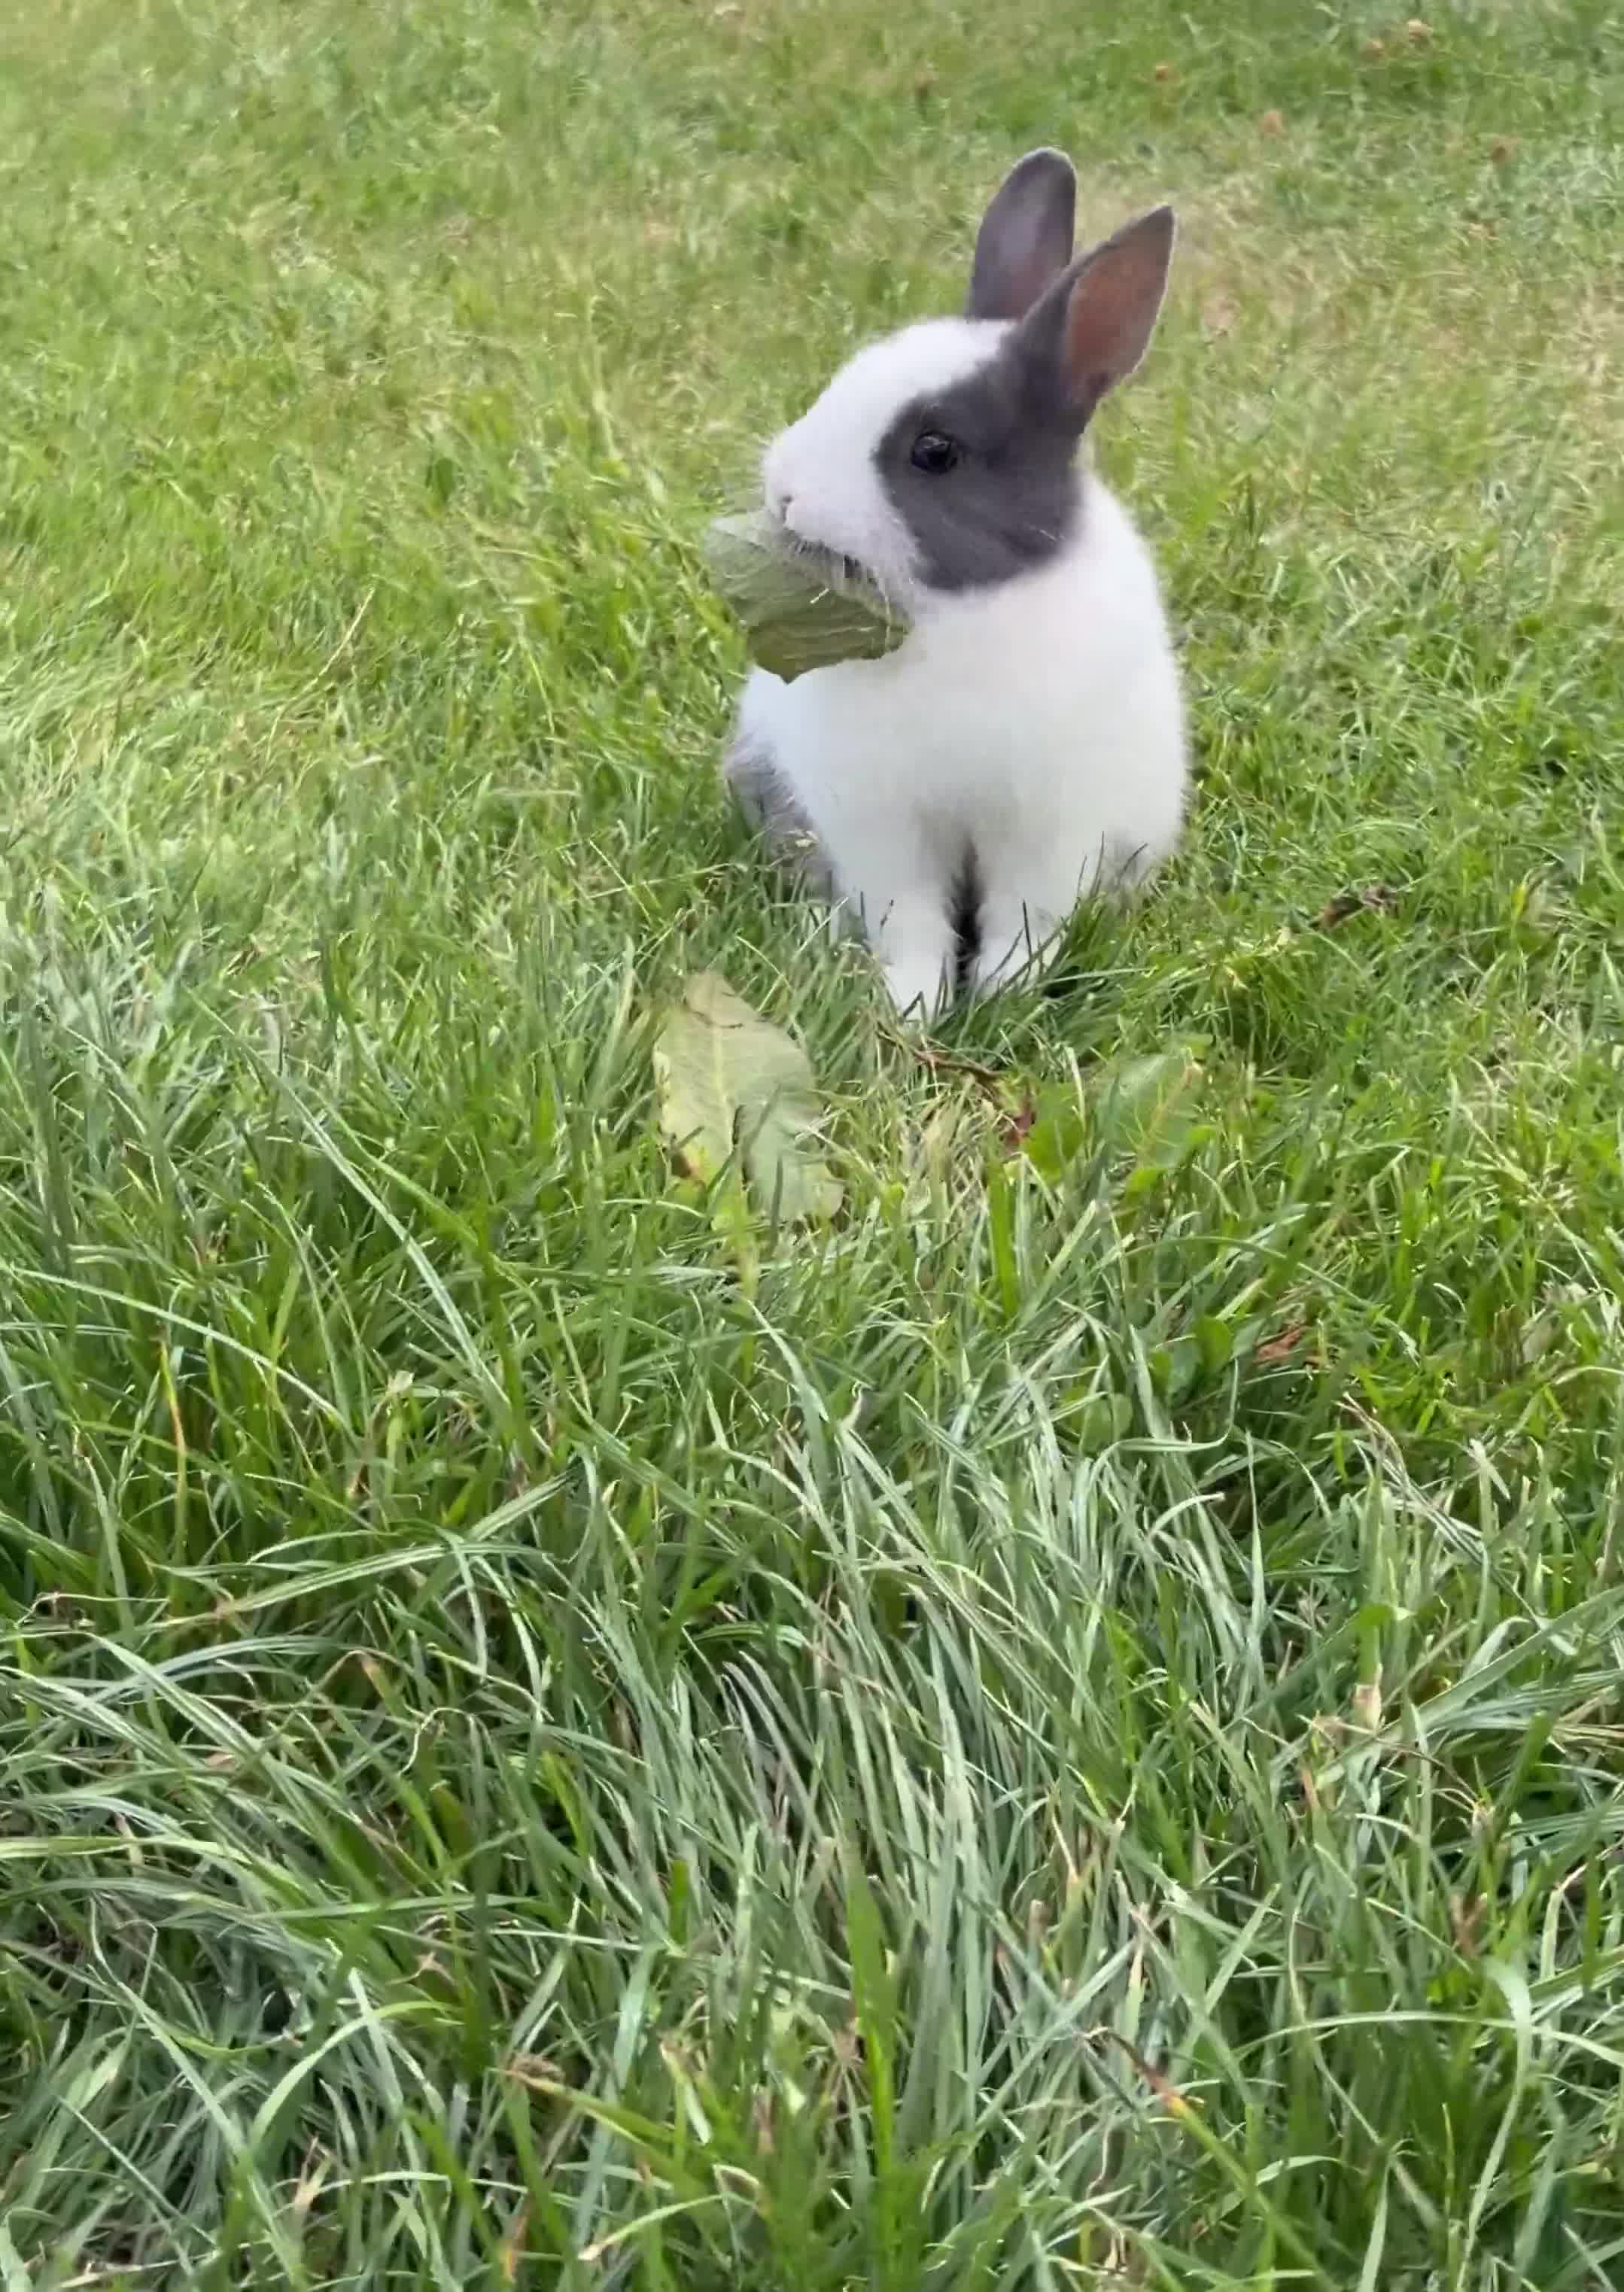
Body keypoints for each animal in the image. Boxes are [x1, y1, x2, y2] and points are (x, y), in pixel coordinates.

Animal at [724, 148, 1187, 1018]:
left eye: (935, 452)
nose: (786, 492)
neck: (958, 612)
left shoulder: (1047, 827)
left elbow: (1024, 916)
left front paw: (1005, 995)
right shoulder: (881, 826)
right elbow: (910, 920)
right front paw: (916, 1008)